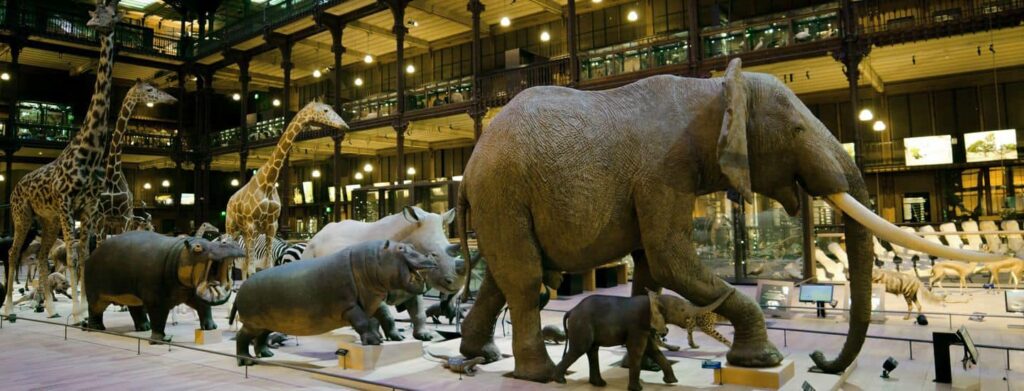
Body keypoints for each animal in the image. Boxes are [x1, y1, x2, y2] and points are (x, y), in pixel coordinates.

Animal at [3, 0, 123, 319]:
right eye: (96, 12)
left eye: (112, 14)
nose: (94, 24)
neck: (90, 153)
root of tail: (16, 186)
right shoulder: (68, 205)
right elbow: (72, 257)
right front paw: (78, 312)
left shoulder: (88, 209)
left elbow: (84, 255)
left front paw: (85, 308)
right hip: (22, 216)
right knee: (13, 253)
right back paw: (9, 309)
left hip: (47, 220)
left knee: (43, 254)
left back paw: (49, 309)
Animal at [225, 99, 348, 278]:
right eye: (325, 110)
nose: (345, 125)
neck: (269, 182)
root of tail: (230, 200)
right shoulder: (251, 225)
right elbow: (253, 269)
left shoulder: (271, 227)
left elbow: (266, 265)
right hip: (233, 228)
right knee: (231, 262)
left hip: (246, 233)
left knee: (245, 262)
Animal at [557, 288, 733, 388]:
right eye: (682, 309)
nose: (732, 291)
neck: (656, 300)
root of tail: (571, 311)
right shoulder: (638, 325)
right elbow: (638, 350)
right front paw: (637, 389)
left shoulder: (646, 327)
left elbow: (653, 350)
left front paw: (672, 381)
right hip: (582, 325)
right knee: (580, 349)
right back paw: (559, 380)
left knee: (592, 350)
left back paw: (599, 384)